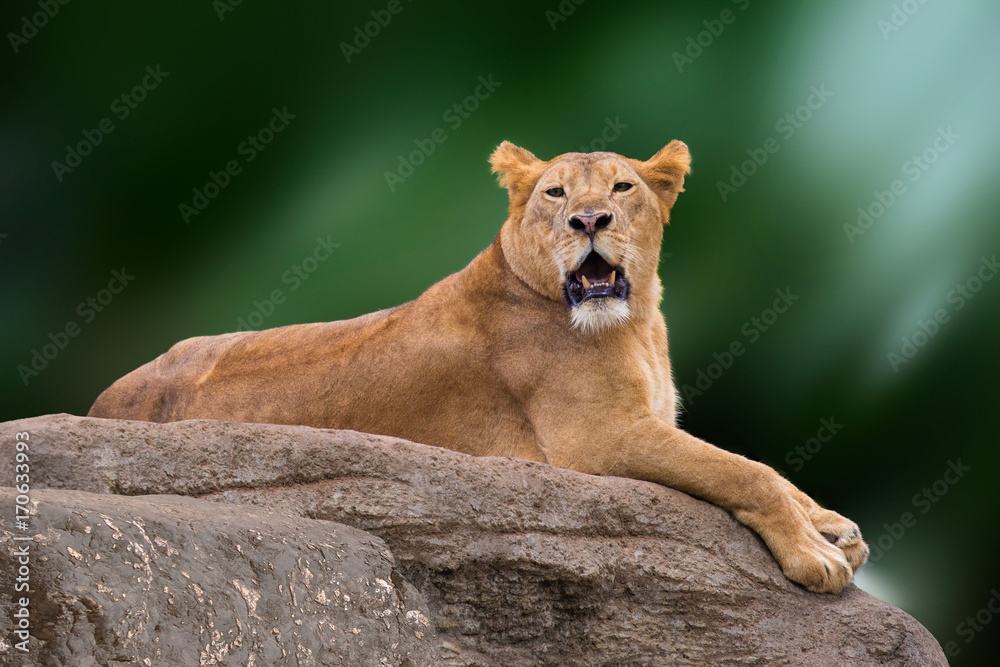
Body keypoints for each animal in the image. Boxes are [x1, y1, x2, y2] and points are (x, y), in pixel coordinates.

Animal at [89, 140, 868, 593]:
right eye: (556, 193)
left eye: (621, 188)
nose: (589, 221)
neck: (638, 320)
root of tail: (102, 401)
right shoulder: (598, 440)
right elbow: (743, 468)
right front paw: (815, 552)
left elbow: (761, 470)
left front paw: (830, 524)